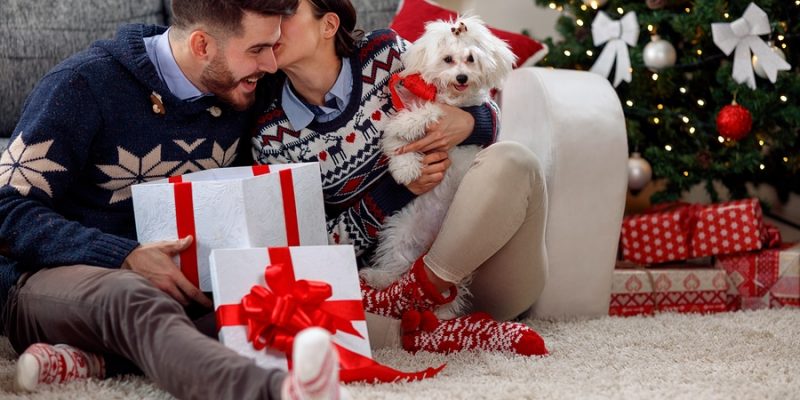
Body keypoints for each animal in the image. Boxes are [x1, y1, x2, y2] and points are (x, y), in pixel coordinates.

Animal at [362, 15, 520, 318]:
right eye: (448, 59)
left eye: (471, 59)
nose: (461, 78)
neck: (454, 100)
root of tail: (431, 245)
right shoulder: (398, 139)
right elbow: (397, 142)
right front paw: (406, 166)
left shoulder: (452, 116)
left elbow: (431, 112)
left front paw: (410, 123)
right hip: (401, 230)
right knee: (398, 266)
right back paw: (379, 278)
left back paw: (441, 315)